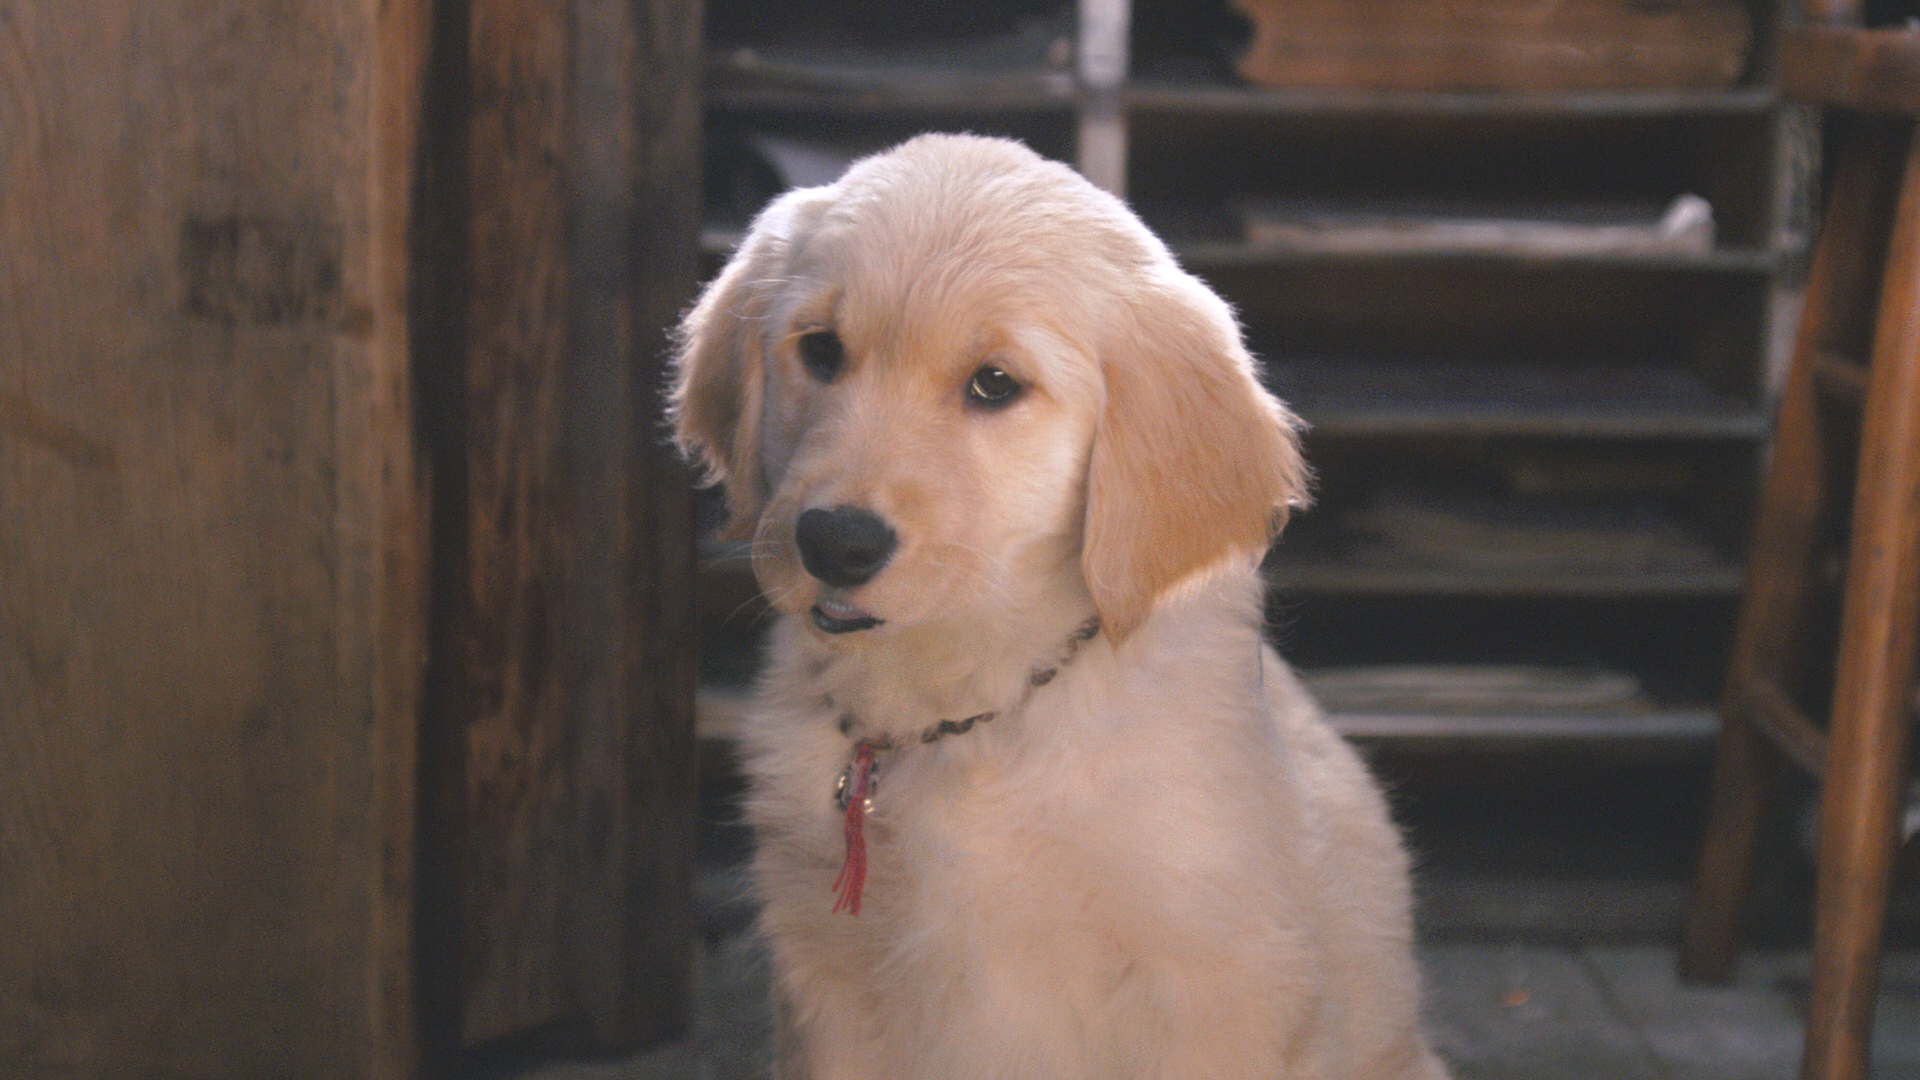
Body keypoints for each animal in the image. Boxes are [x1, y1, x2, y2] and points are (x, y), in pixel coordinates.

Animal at [672, 134, 1443, 1076]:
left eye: (995, 384)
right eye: (820, 350)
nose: (834, 542)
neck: (969, 715)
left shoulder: (1210, 986)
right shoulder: (828, 988)